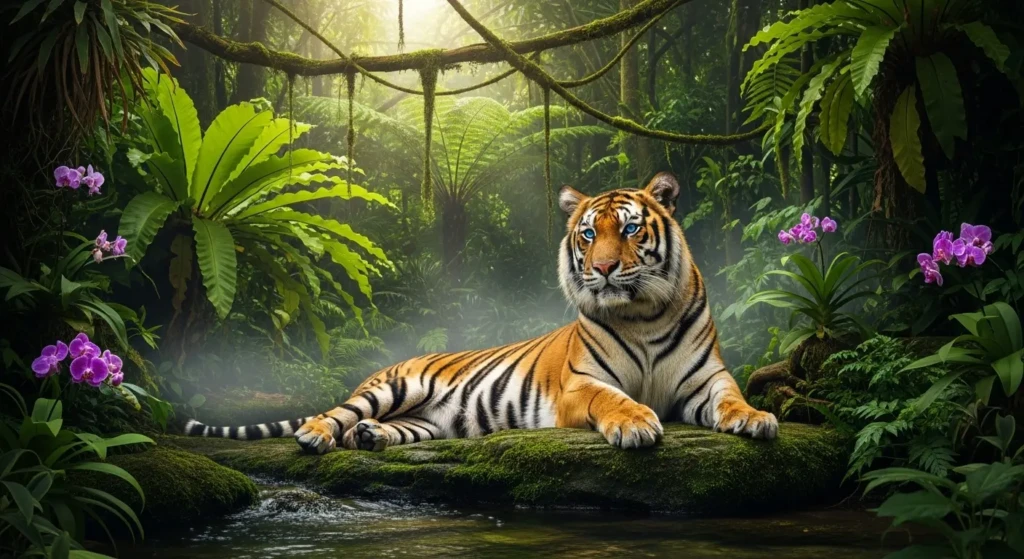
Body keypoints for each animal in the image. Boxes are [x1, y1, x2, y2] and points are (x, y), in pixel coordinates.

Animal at [184, 172, 778, 454]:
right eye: (589, 234)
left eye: (631, 228)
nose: (605, 268)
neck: (644, 315)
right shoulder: (580, 385)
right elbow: (612, 398)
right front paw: (635, 423)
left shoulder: (707, 380)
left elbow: (731, 398)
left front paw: (756, 418)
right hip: (392, 388)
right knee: (338, 412)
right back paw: (317, 434)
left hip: (427, 423)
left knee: (382, 430)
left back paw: (371, 438)